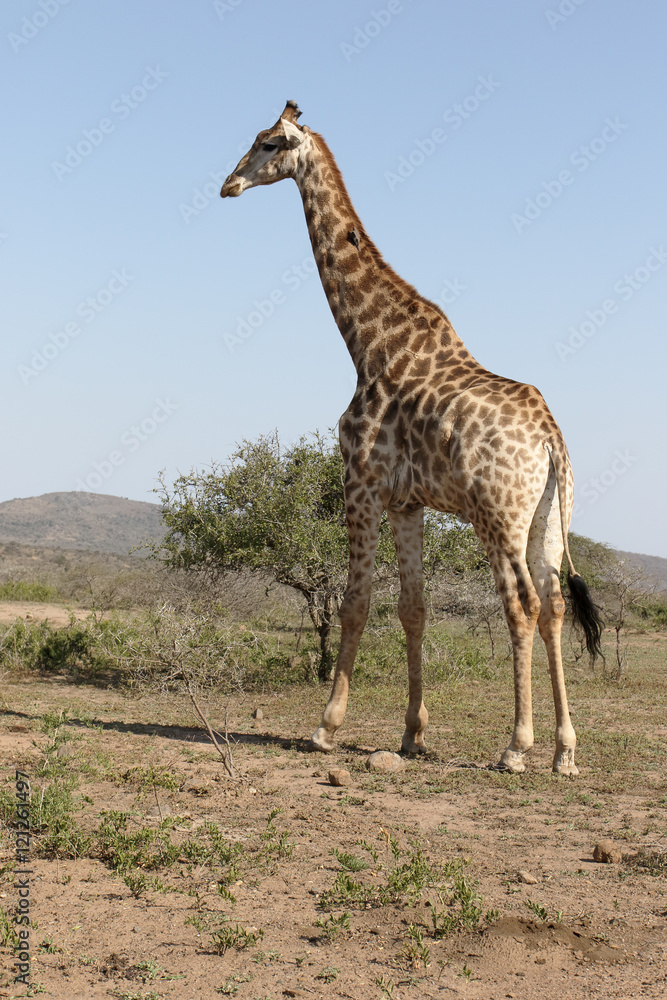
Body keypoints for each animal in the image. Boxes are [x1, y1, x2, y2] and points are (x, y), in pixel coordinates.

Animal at [220, 101, 603, 775]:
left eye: (268, 143)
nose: (228, 184)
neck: (367, 345)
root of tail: (551, 440)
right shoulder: (407, 502)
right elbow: (413, 609)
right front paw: (412, 734)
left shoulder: (362, 483)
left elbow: (355, 603)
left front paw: (326, 727)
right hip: (548, 518)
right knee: (555, 603)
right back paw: (564, 751)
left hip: (497, 515)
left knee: (522, 604)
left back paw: (516, 746)